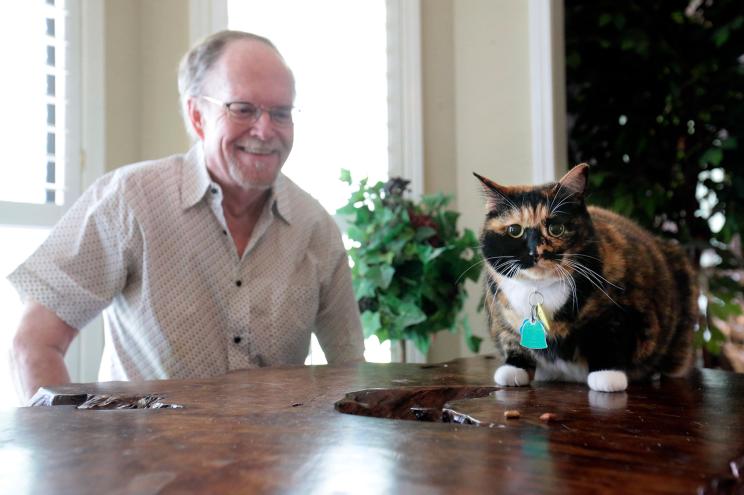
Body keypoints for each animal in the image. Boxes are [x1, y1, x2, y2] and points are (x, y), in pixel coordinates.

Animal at [476, 165, 696, 394]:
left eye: (556, 229)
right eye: (514, 230)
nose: (535, 252)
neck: (539, 289)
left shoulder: (621, 311)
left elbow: (608, 338)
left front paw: (607, 375)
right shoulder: (499, 314)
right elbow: (511, 339)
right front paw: (513, 369)